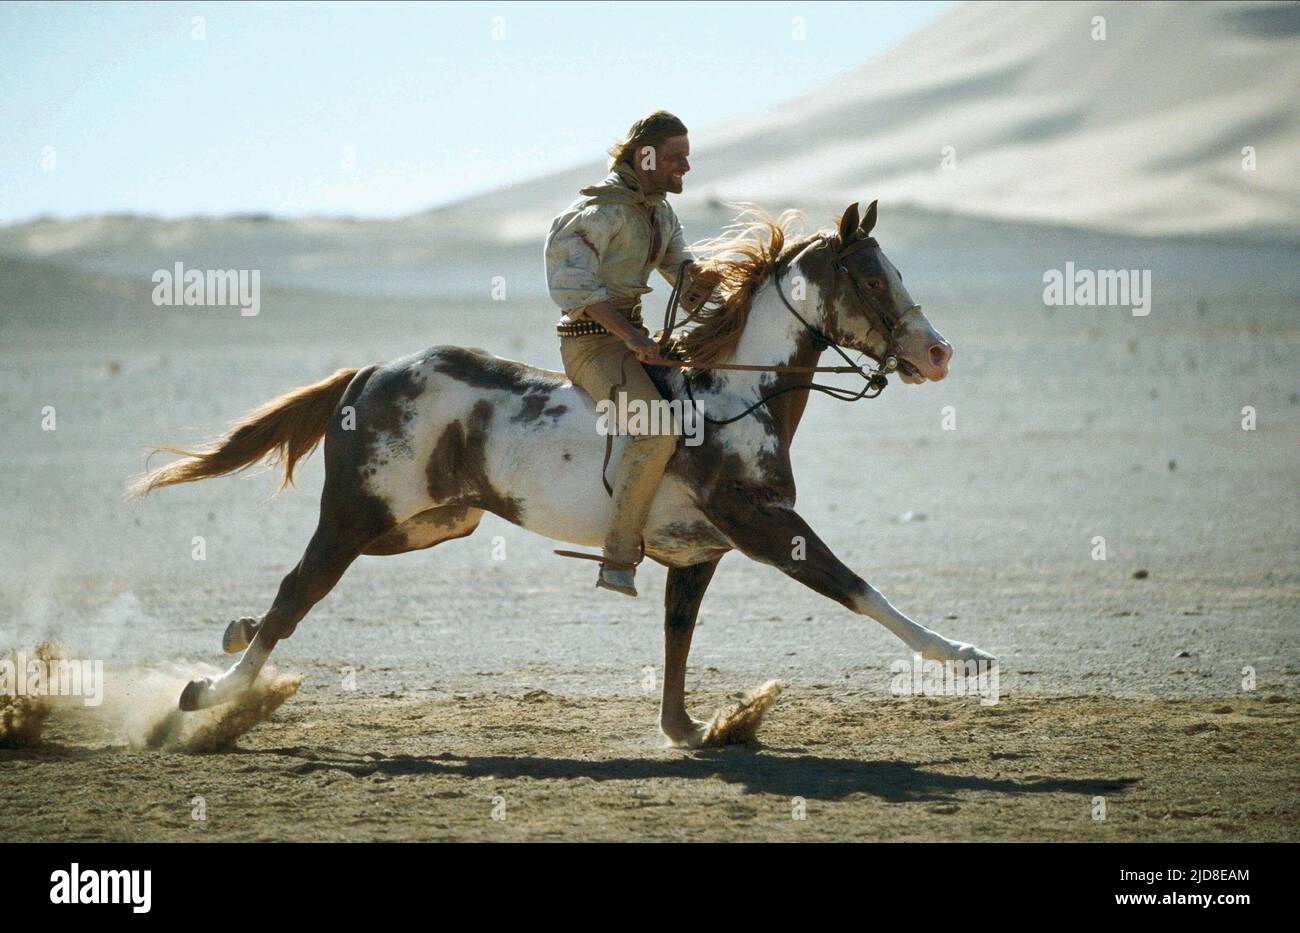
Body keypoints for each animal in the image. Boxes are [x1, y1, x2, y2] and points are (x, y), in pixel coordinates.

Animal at [134, 201, 993, 748]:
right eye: (872, 278)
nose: (939, 352)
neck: (731, 397)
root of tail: (371, 372)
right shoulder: (766, 527)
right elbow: (861, 589)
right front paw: (962, 654)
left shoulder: (699, 552)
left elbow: (678, 636)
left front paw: (688, 728)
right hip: (353, 516)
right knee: (296, 592)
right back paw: (211, 692)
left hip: (435, 521)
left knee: (291, 594)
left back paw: (232, 635)